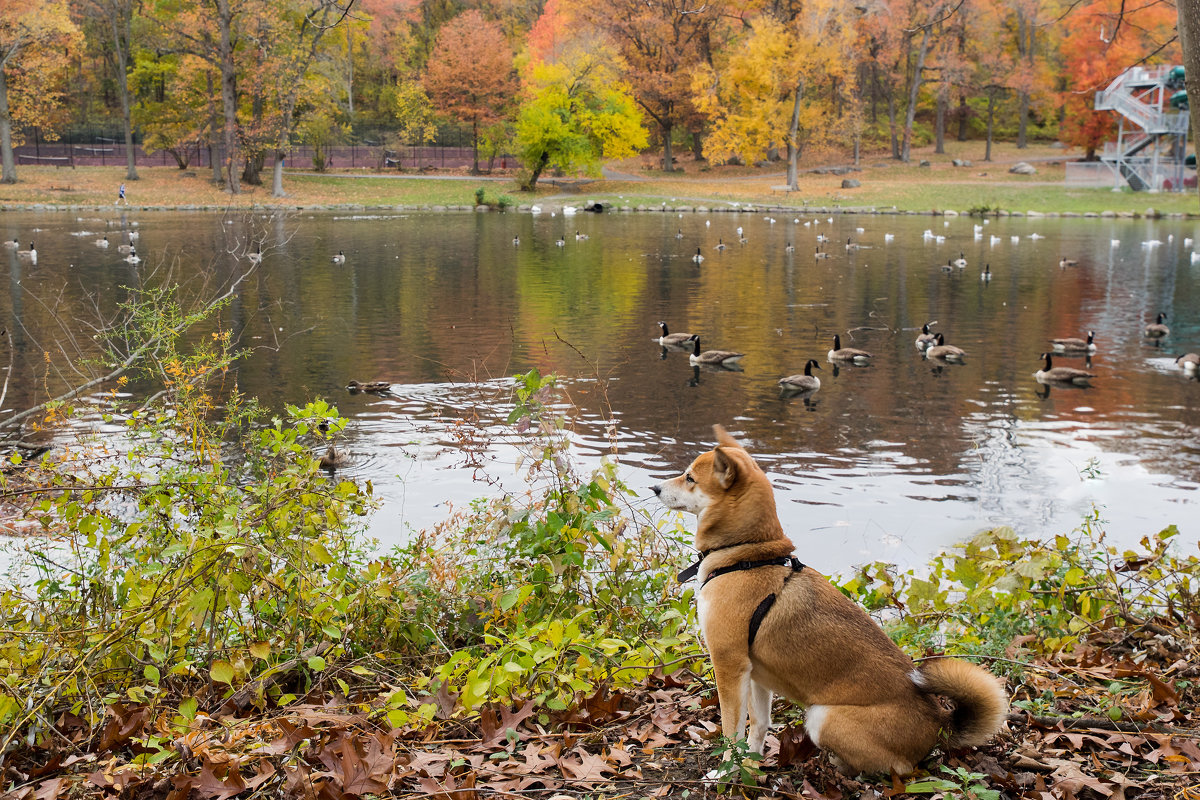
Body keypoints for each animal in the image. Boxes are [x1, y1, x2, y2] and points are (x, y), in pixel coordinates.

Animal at [652, 429, 1008, 777]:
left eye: (690, 478)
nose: (654, 487)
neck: (746, 556)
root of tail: (939, 724)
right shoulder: (754, 674)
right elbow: (758, 726)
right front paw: (750, 766)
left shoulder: (729, 665)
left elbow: (731, 730)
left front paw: (726, 771)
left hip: (823, 716)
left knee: (901, 769)